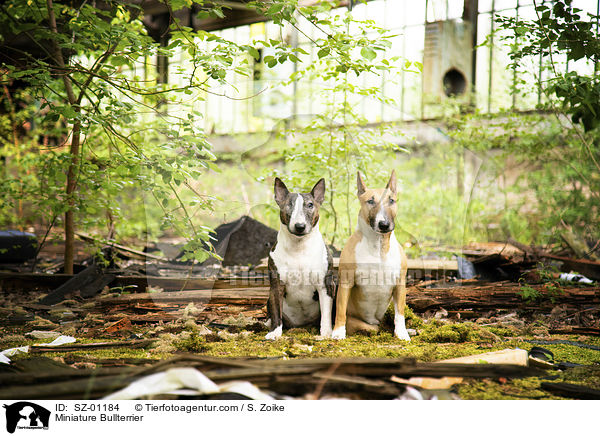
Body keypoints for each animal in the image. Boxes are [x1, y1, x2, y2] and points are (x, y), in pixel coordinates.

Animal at [264, 177, 336, 340]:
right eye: (289, 205)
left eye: (310, 205)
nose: (300, 226)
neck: (299, 247)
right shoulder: (276, 284)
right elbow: (276, 311)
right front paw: (275, 332)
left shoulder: (325, 285)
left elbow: (326, 313)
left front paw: (326, 333)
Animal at [330, 170, 410, 340]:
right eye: (370, 201)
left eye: (391, 200)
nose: (384, 224)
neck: (378, 245)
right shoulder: (346, 281)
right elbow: (341, 309)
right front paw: (338, 332)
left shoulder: (400, 283)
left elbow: (400, 312)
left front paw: (402, 333)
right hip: (361, 322)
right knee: (372, 328)